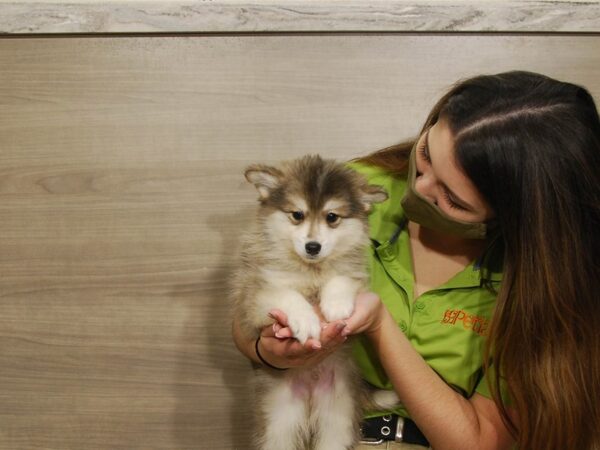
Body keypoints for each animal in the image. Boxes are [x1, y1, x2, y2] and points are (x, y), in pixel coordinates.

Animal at [230, 156, 390, 450]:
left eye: (332, 217)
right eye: (297, 215)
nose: (313, 247)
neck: (310, 271)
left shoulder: (356, 278)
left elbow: (341, 278)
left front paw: (335, 305)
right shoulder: (254, 295)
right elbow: (286, 294)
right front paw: (306, 321)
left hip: (338, 416)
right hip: (279, 420)